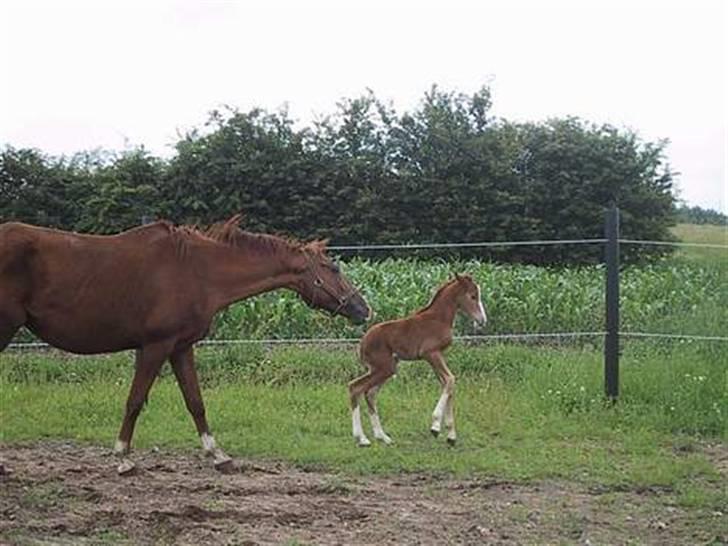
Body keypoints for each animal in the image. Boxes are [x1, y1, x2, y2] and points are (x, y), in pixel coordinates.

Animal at [1, 215, 370, 470]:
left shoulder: (180, 347)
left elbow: (195, 401)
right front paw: (123, 457)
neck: (196, 270)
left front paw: (218, 454)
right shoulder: (155, 346)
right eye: (333, 268)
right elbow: (135, 401)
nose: (363, 308)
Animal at [348, 274, 486, 444]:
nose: (482, 320)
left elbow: (447, 384)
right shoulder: (431, 353)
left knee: (370, 393)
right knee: (355, 388)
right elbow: (450, 380)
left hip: (383, 369)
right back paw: (361, 438)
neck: (439, 318)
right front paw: (435, 427)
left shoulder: (436, 356)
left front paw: (451, 435)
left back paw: (382, 436)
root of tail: (362, 343)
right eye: (473, 296)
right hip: (384, 368)